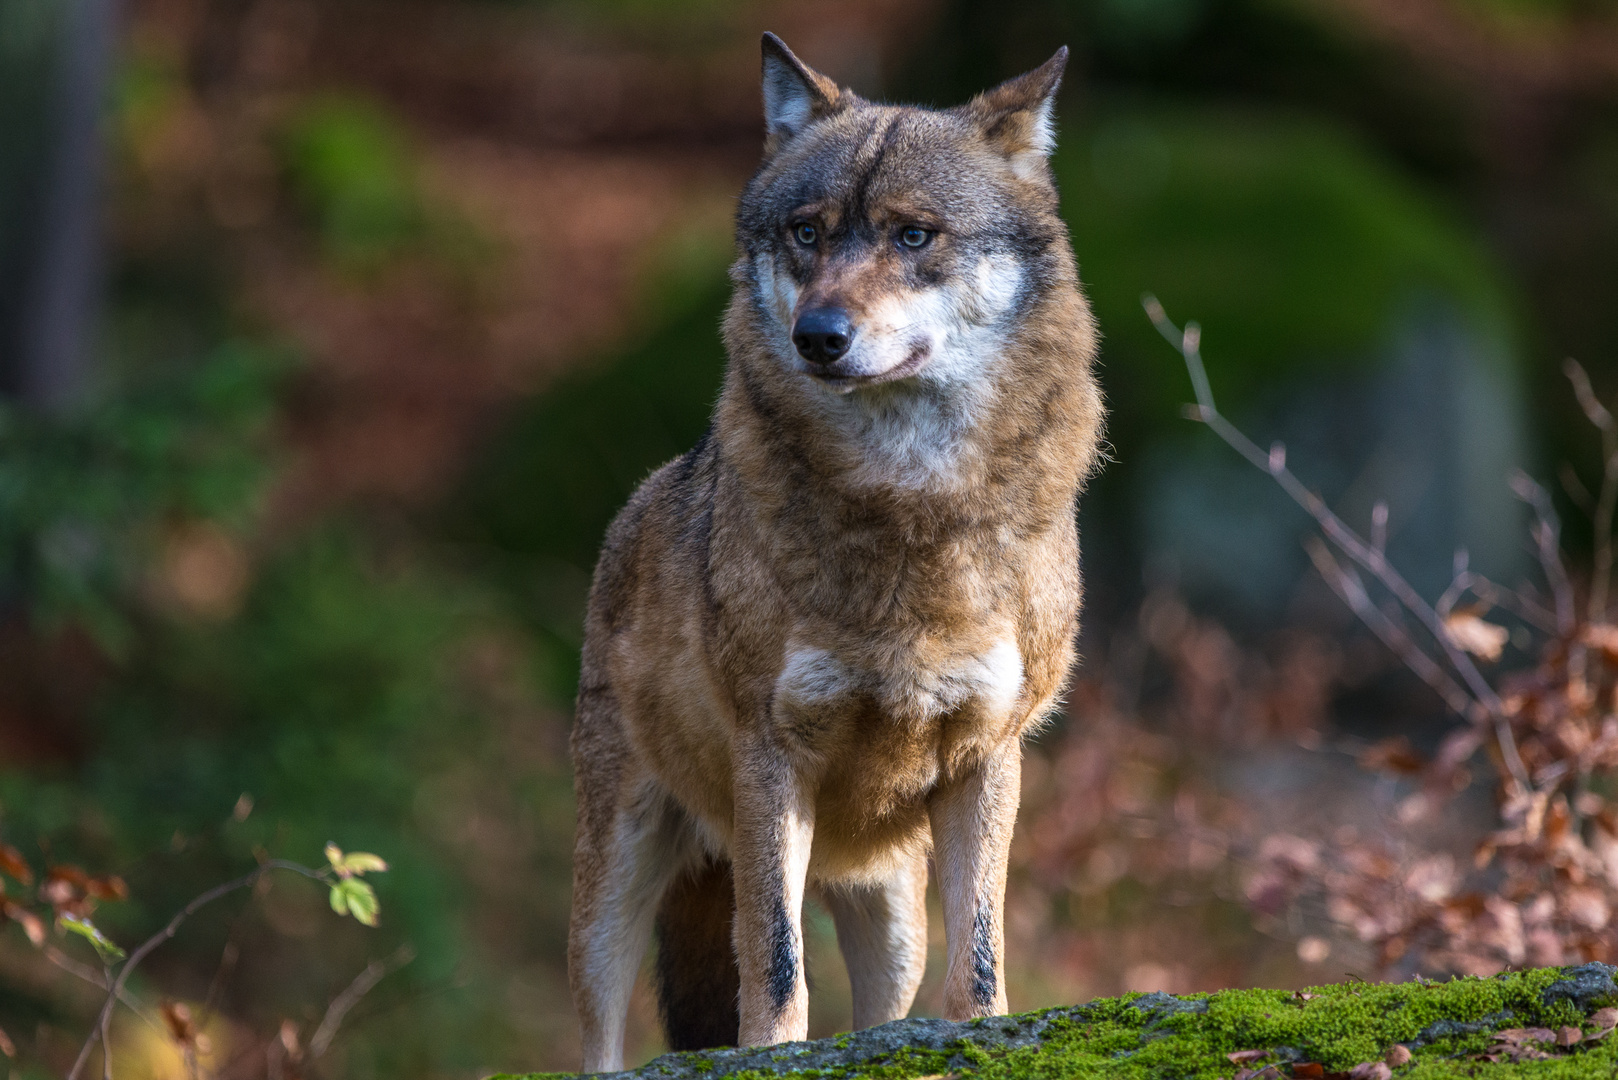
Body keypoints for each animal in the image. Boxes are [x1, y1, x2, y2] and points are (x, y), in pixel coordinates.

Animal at [566, 33, 1100, 1075]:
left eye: (913, 236)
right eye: (807, 233)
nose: (818, 334)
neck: (910, 509)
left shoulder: (990, 755)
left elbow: (981, 956)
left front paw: (984, 1033)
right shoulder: (772, 755)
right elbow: (774, 965)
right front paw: (769, 1048)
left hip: (887, 908)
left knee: (882, 1014)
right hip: (618, 875)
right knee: (598, 1033)